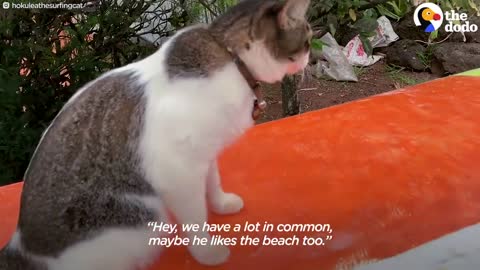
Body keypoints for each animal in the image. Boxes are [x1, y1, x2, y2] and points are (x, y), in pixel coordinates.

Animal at [0, 1, 314, 268]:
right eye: (309, 41)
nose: (311, 57)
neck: (231, 59)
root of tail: (21, 246)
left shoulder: (203, 151)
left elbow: (212, 180)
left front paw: (221, 203)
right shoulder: (177, 173)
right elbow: (195, 217)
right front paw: (207, 251)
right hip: (145, 218)